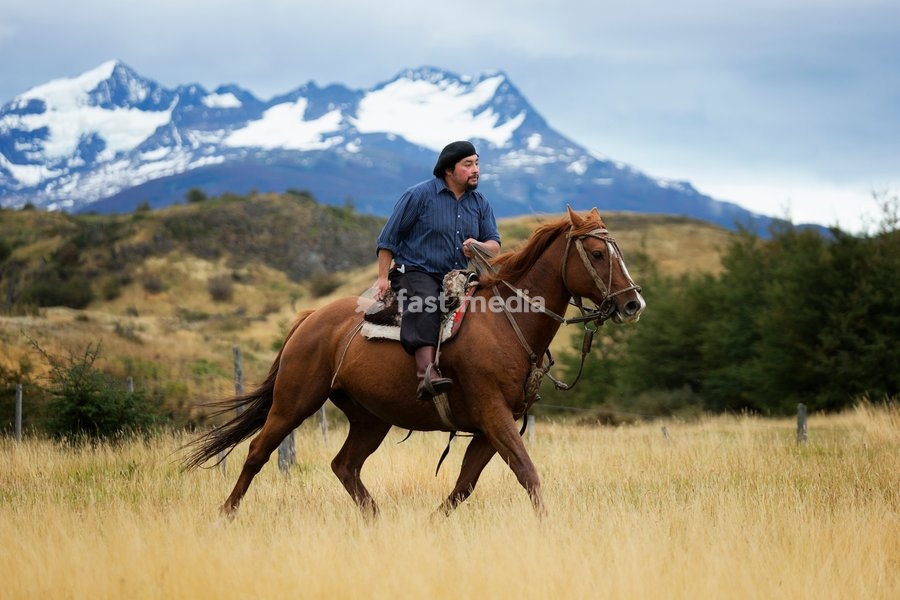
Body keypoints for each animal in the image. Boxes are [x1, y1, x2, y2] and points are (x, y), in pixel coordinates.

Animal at [181, 206, 645, 517]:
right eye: (597, 254)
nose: (632, 304)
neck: (505, 320)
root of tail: (310, 319)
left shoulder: (491, 425)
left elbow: (465, 484)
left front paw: (432, 525)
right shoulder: (493, 414)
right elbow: (526, 471)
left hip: (370, 418)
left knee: (344, 465)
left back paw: (376, 521)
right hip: (294, 402)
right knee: (258, 452)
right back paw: (226, 514)